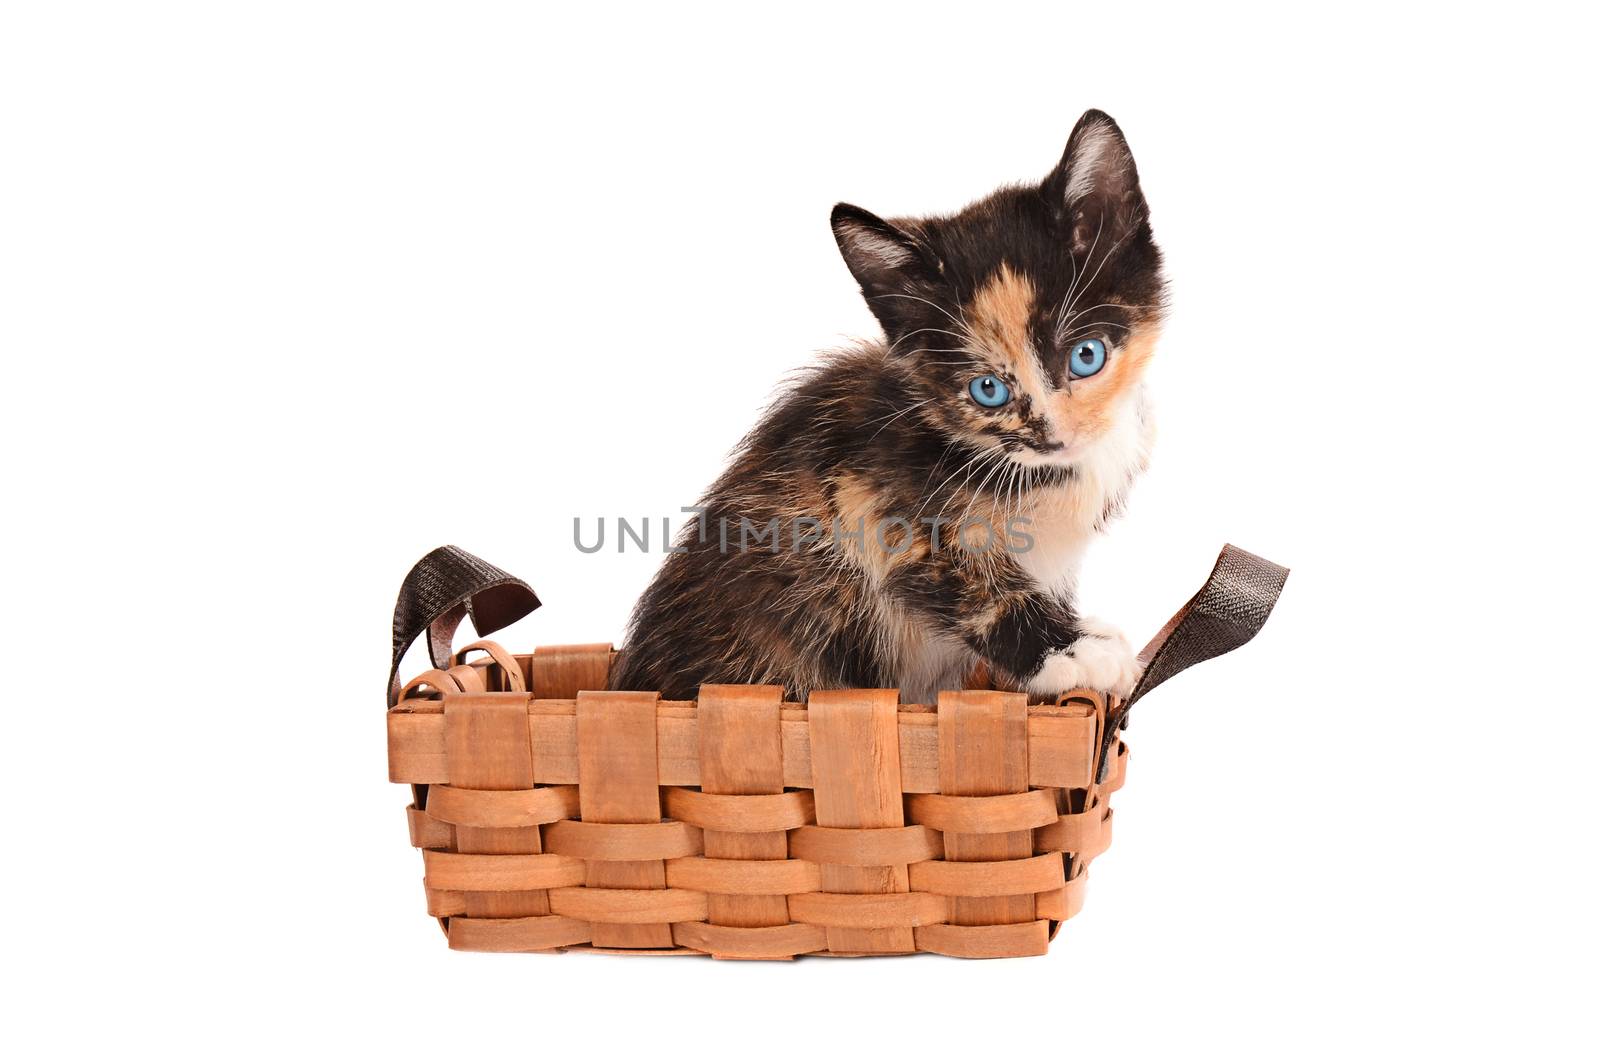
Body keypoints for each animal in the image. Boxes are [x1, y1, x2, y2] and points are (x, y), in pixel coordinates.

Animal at [608, 109, 1164, 704]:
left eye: (1086, 356)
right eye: (987, 390)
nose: (1055, 437)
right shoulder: (865, 495)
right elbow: (970, 583)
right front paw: (1076, 653)